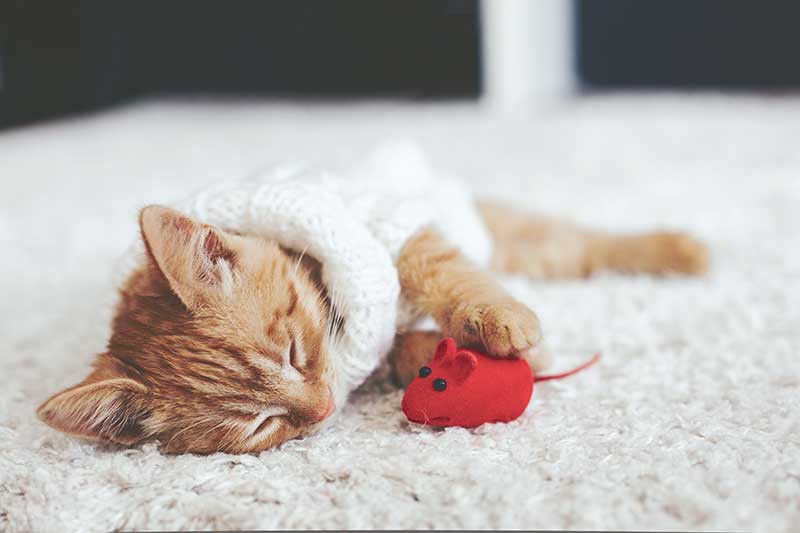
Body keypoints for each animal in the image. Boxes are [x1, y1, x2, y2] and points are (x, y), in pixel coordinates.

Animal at [37, 196, 708, 454]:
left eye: (292, 351)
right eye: (260, 425)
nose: (323, 408)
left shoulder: (393, 225)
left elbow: (438, 267)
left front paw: (497, 318)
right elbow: (404, 350)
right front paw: (438, 354)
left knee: (577, 241)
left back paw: (680, 249)